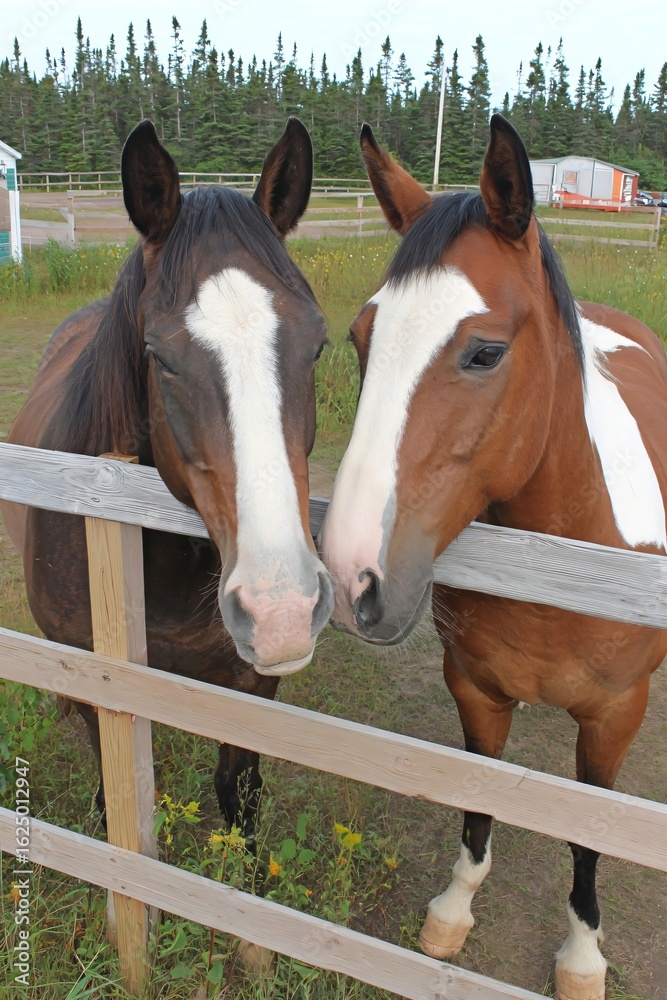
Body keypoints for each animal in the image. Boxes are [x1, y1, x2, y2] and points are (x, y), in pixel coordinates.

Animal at [2, 117, 335, 851]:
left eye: (319, 343)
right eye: (160, 356)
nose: (282, 610)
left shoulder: (250, 683)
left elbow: (238, 797)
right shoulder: (102, 689)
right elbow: (118, 799)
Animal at [319, 115, 667, 1000]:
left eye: (482, 353)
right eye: (360, 338)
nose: (350, 578)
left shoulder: (614, 719)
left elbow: (587, 834)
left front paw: (581, 957)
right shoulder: (474, 690)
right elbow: (477, 806)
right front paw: (451, 911)